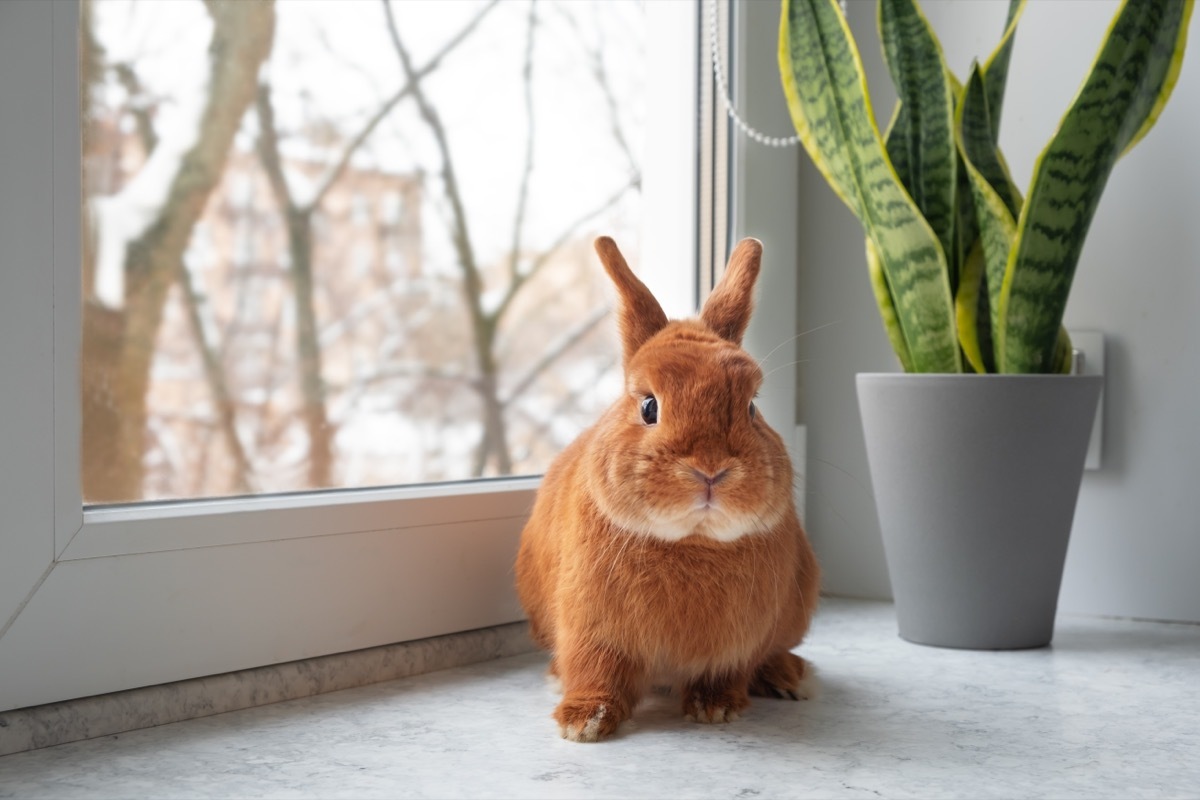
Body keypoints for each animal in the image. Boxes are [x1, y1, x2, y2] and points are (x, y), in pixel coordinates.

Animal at [514, 236, 820, 742]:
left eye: (752, 407)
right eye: (649, 407)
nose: (710, 469)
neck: (691, 541)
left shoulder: (736, 646)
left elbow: (726, 673)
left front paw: (715, 708)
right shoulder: (593, 632)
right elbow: (596, 671)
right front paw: (583, 722)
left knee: (775, 652)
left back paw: (790, 677)